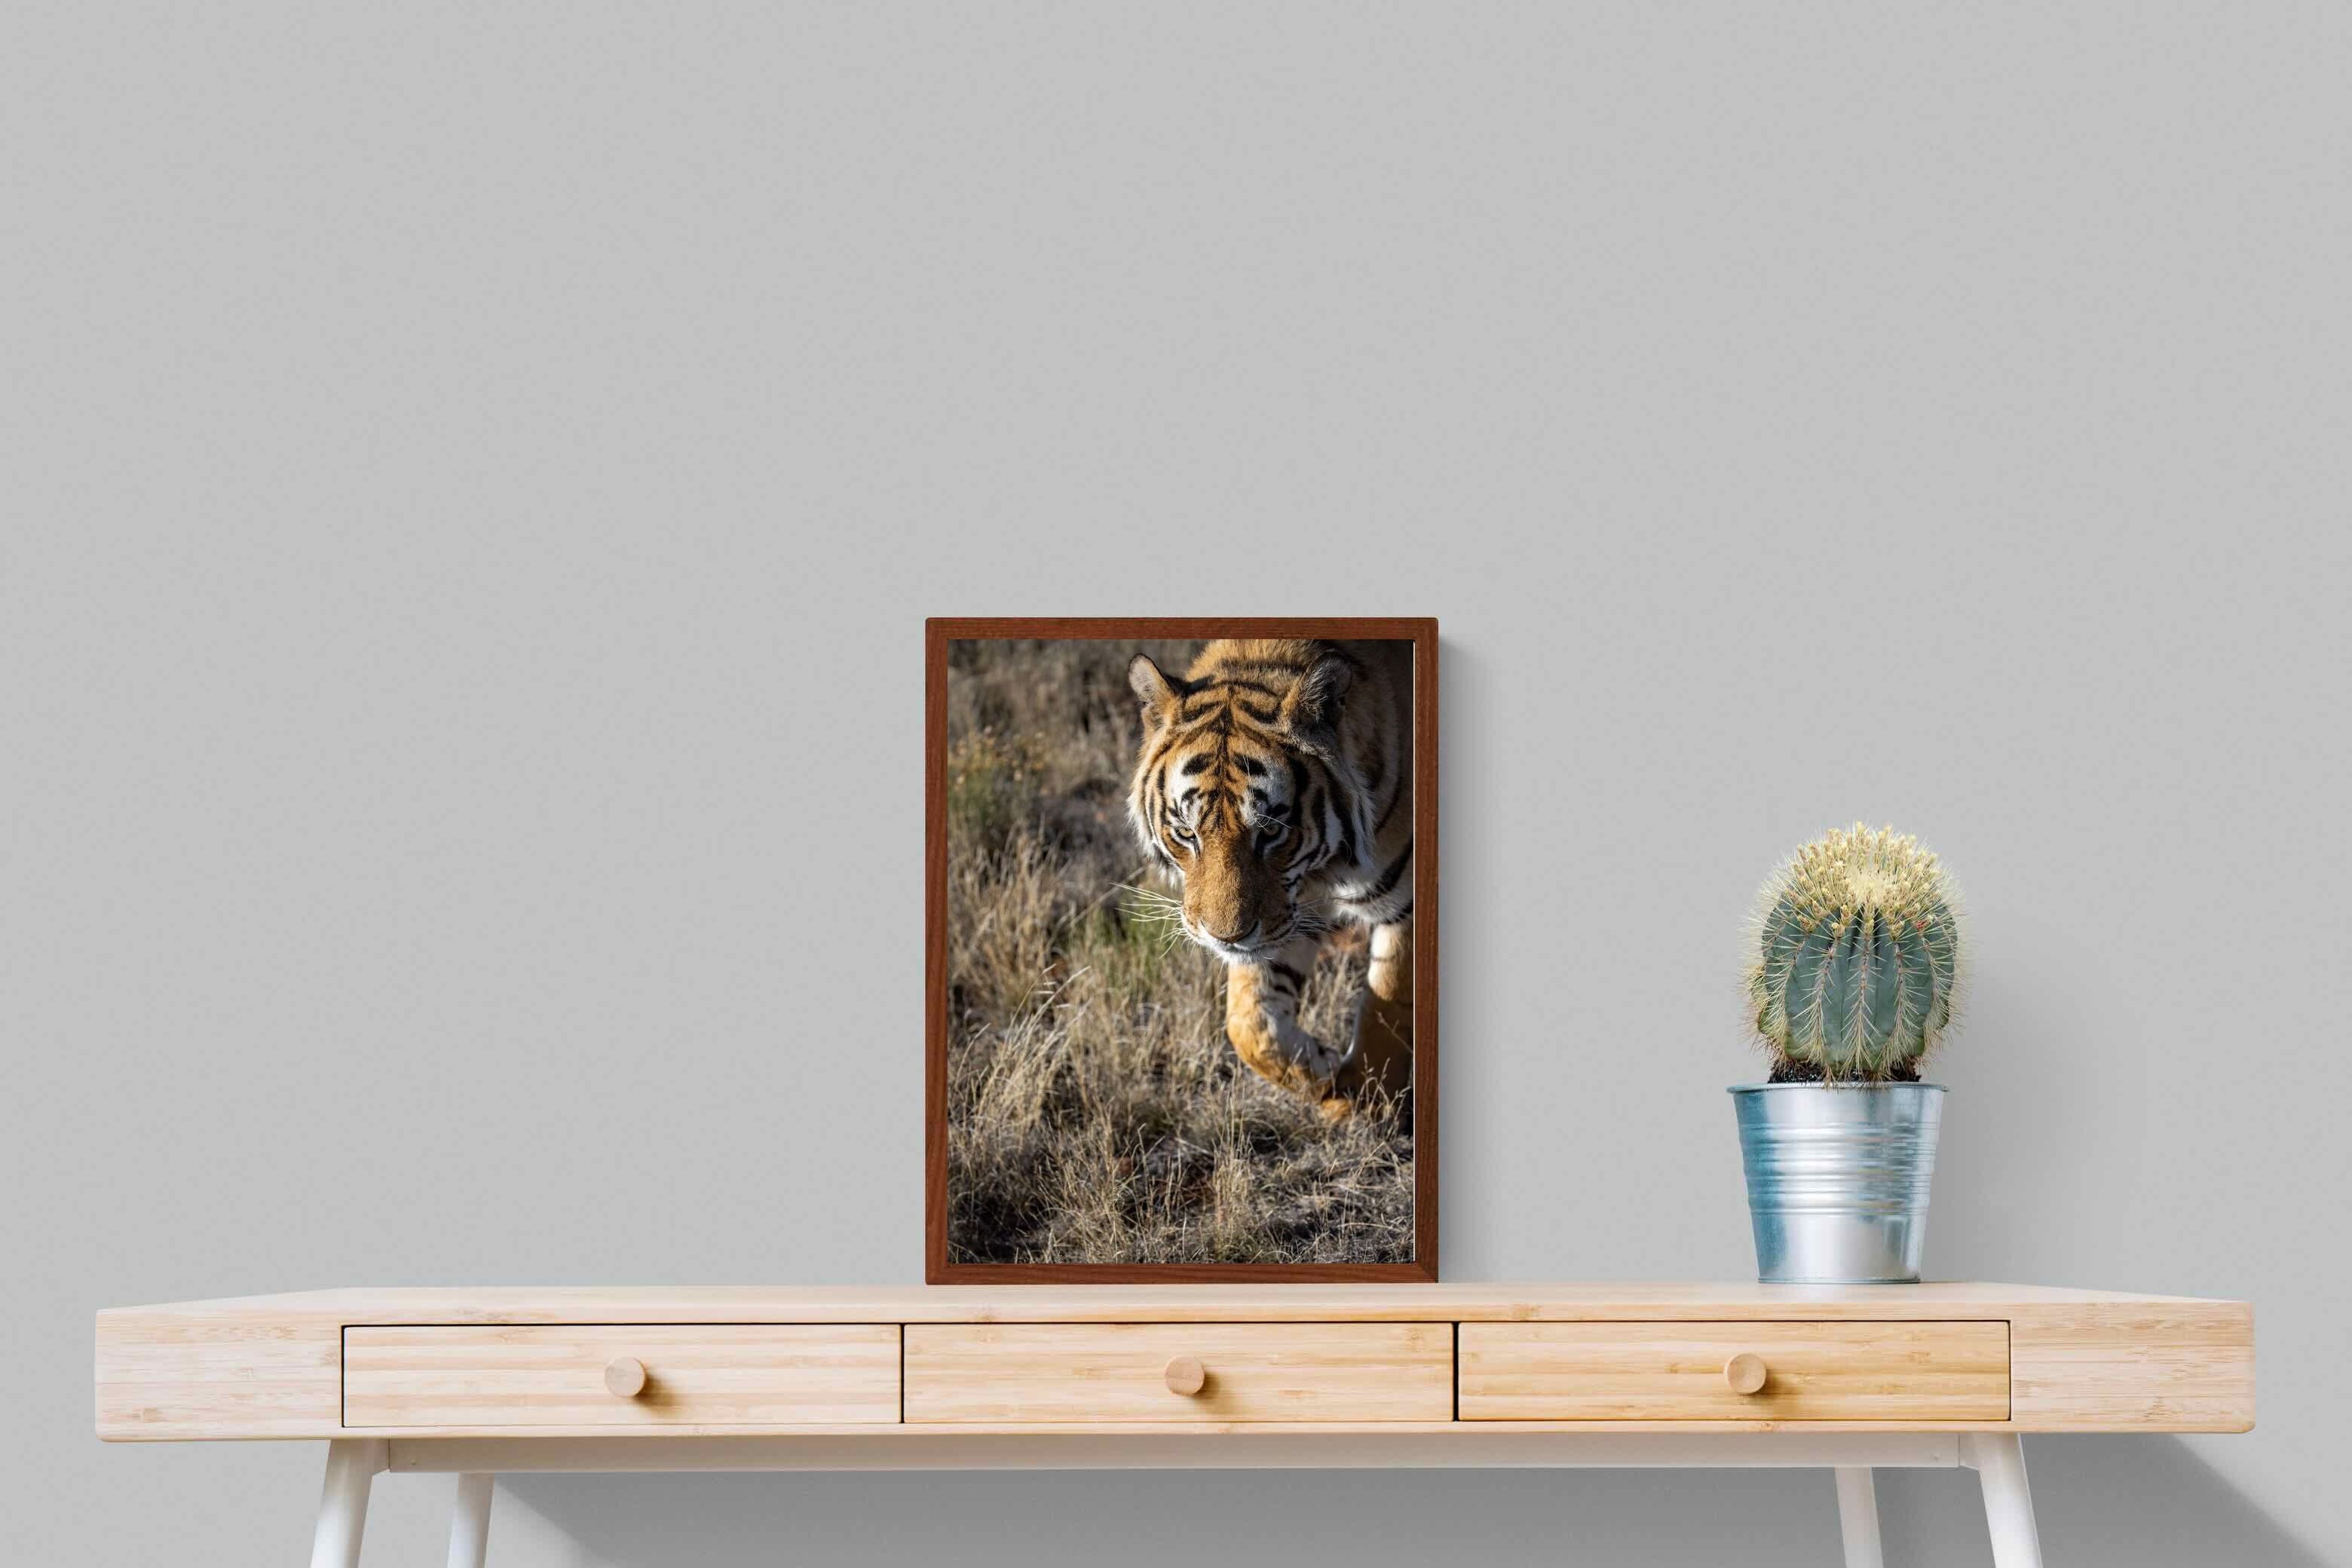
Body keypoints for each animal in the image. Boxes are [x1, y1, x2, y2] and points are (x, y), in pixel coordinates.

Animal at [1126, 638, 1414, 1112]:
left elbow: (1386, 1007)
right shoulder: (1288, 915)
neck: (1323, 870)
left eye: (1272, 830)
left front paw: (1363, 1102)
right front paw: (1322, 1070)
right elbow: (1249, 1024)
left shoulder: (1405, 906)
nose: (1225, 938)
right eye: (1186, 832)